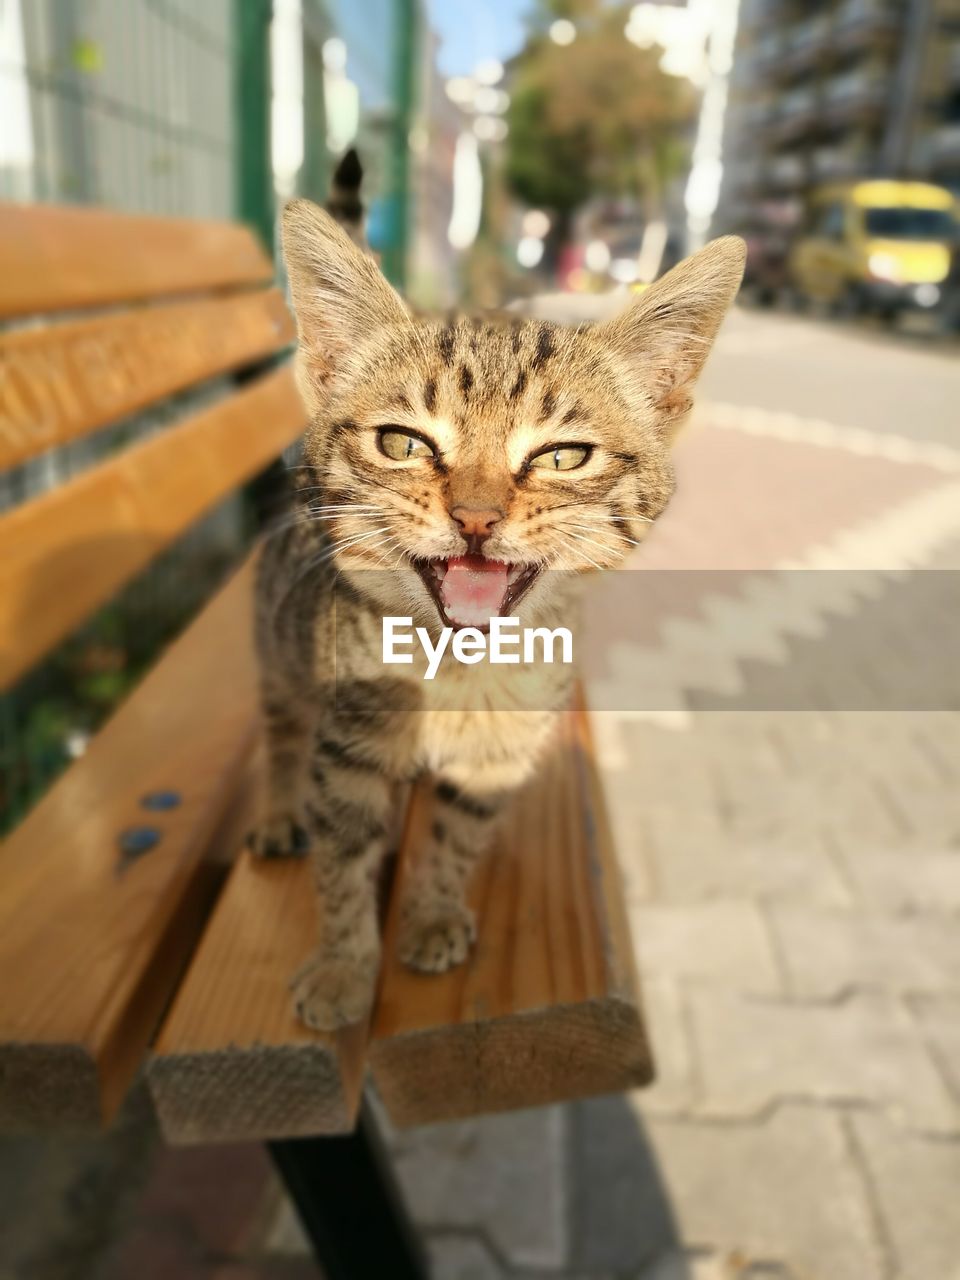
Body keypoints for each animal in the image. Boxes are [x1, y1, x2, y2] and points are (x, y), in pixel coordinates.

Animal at [249, 186, 742, 1029]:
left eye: (562, 456)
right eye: (402, 444)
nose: (476, 518)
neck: (459, 674)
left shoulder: (499, 755)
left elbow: (456, 836)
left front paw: (434, 910)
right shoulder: (346, 745)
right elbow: (344, 860)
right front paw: (345, 965)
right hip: (278, 647)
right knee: (281, 734)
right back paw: (280, 808)